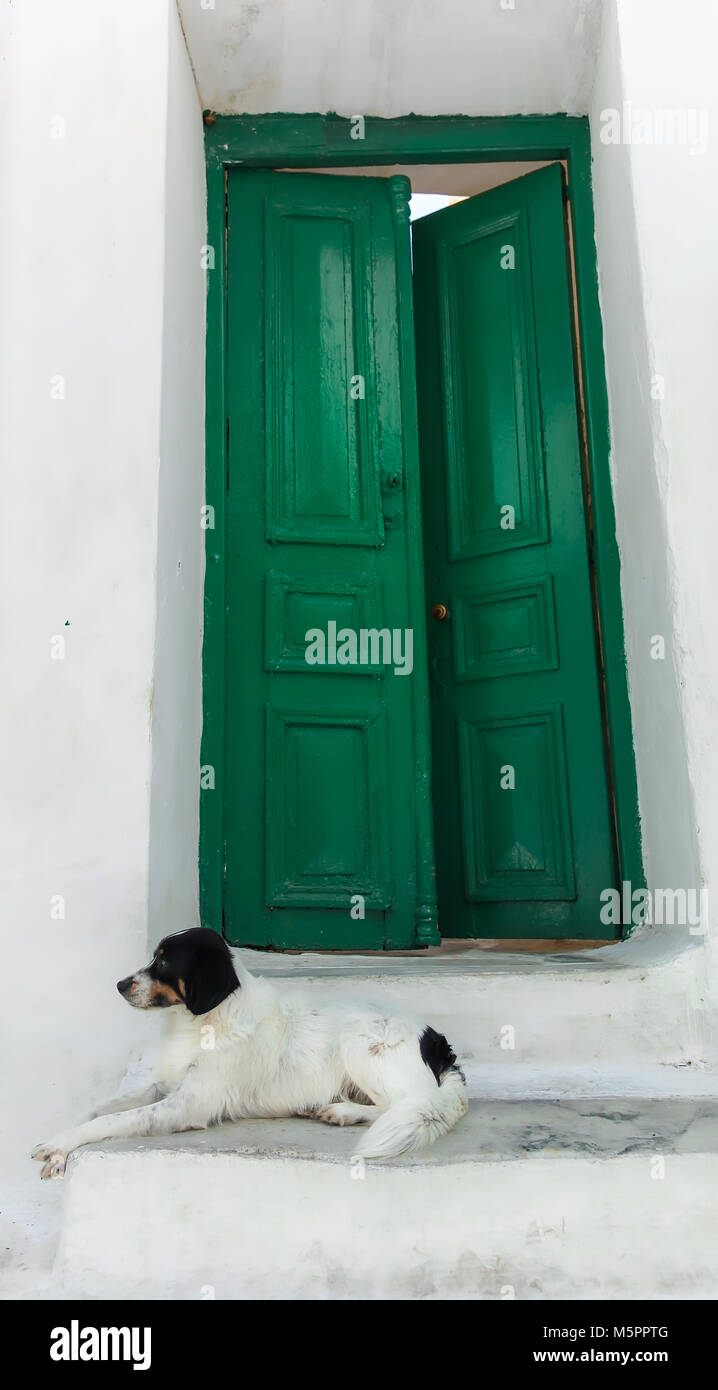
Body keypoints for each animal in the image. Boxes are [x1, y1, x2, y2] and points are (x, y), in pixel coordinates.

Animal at [33, 928, 466, 1178]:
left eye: (165, 961)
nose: (120, 985)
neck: (204, 1021)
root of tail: (437, 1042)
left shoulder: (187, 1105)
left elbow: (112, 1120)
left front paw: (59, 1145)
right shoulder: (166, 1085)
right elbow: (101, 1109)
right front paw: (63, 1136)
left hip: (361, 1047)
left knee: (404, 1104)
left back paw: (342, 1111)